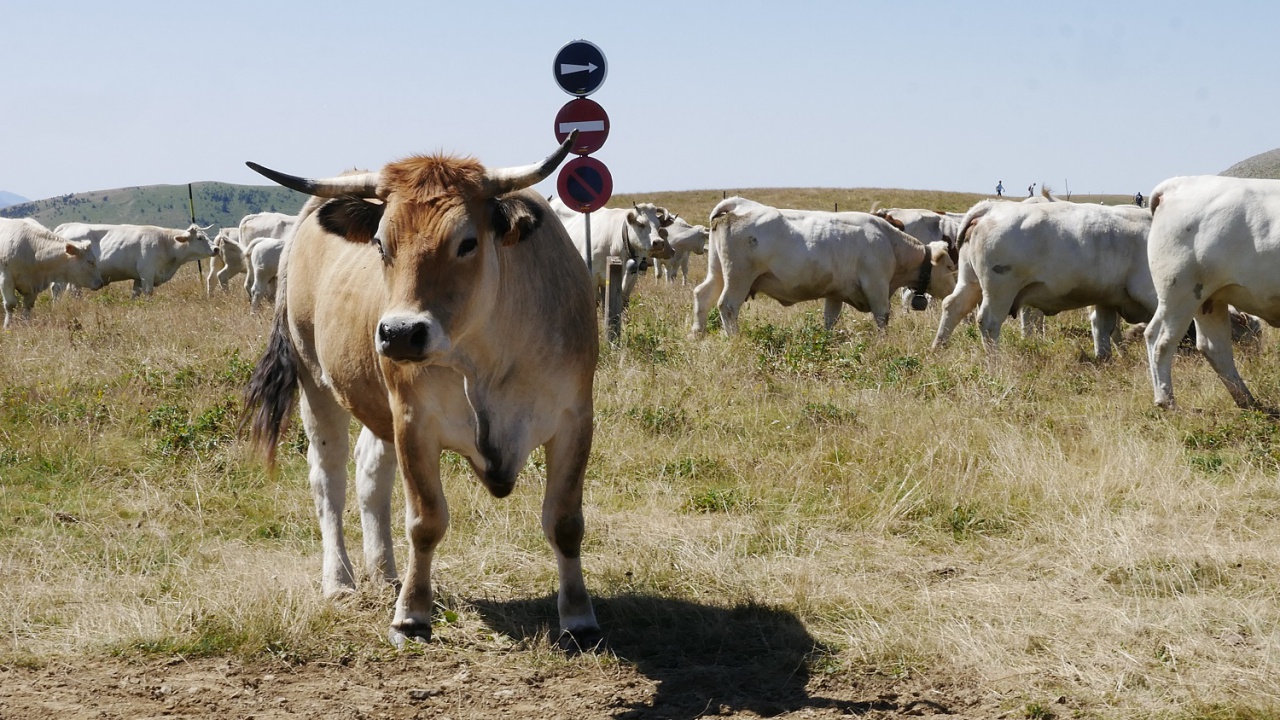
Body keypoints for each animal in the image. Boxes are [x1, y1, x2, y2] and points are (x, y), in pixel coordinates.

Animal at [56, 222, 215, 297]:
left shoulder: (138, 278)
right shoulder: (147, 274)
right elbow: (148, 293)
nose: (216, 249)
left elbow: (135, 294)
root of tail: (67, 226)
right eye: (199, 238)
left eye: (207, 236)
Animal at [241, 135, 601, 649]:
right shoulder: (415, 421)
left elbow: (565, 521)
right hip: (317, 384)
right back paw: (340, 580)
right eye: (380, 243)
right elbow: (425, 522)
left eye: (467, 242)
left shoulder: (575, 419)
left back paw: (385, 572)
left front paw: (578, 617)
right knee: (328, 479)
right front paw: (411, 614)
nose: (400, 334)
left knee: (371, 471)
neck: (483, 359)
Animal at [691, 197, 957, 336]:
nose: (955, 289)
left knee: (703, 296)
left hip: (717, 272)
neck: (890, 243)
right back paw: (733, 337)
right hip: (738, 277)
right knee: (727, 306)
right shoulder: (877, 286)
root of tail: (739, 204)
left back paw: (698, 334)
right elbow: (882, 317)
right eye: (950, 267)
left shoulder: (835, 293)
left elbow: (830, 319)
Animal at [932, 199, 1154, 359]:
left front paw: (1107, 360)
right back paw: (995, 362)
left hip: (970, 282)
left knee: (952, 307)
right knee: (988, 322)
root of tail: (991, 207)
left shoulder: (1105, 298)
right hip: (1000, 291)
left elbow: (1104, 329)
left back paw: (938, 349)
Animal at [1144, 175, 1280, 410]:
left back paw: (1247, 400)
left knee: (1214, 348)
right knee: (1160, 340)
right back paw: (1167, 402)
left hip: (1208, 299)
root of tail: (1174, 185)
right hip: (1180, 294)